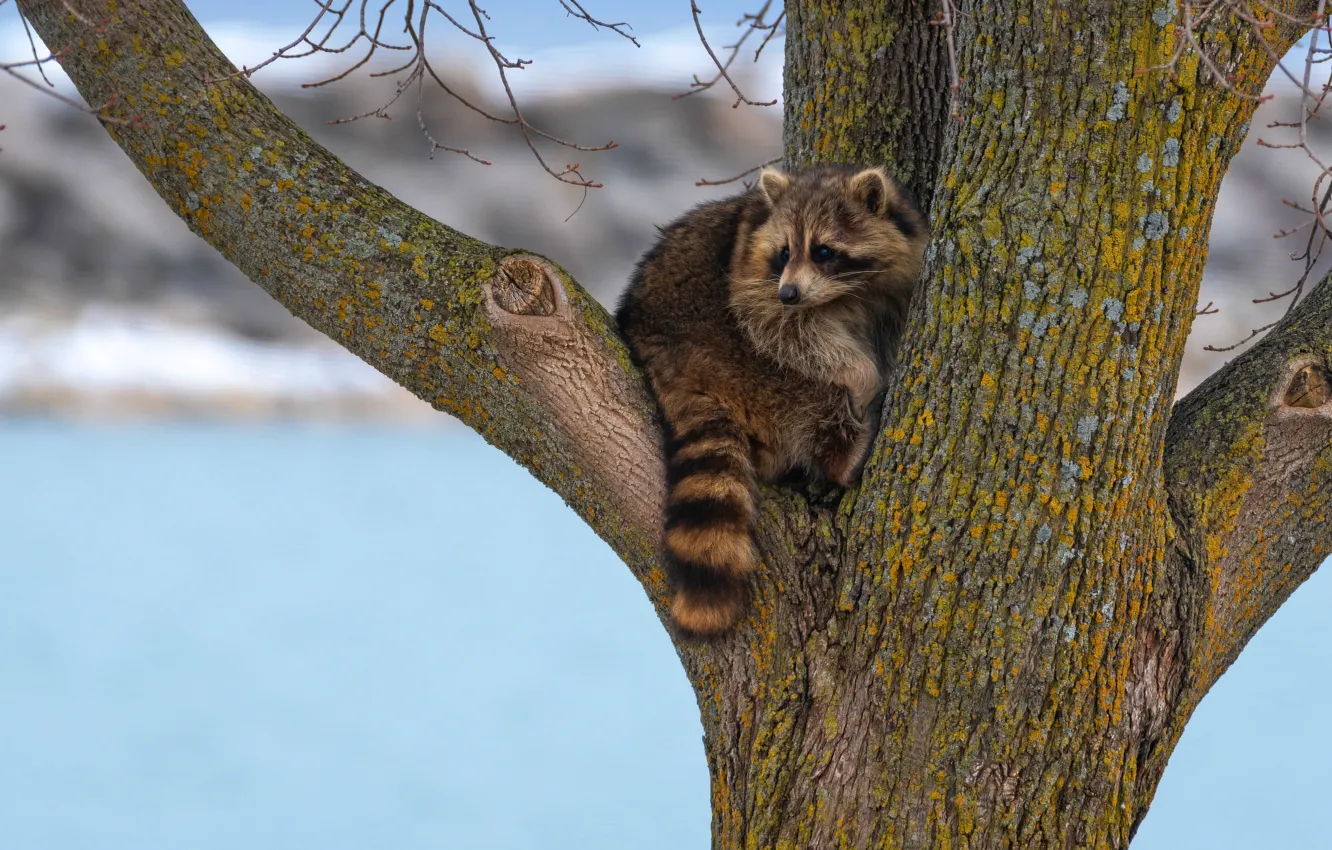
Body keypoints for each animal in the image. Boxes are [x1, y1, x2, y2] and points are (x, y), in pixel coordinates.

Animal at [615, 164, 929, 637]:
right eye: (784, 252)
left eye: (823, 250)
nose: (789, 294)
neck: (848, 293)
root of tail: (650, 345)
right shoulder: (751, 281)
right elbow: (784, 333)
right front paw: (862, 377)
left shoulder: (895, 286)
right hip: (723, 350)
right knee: (806, 391)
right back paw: (842, 452)